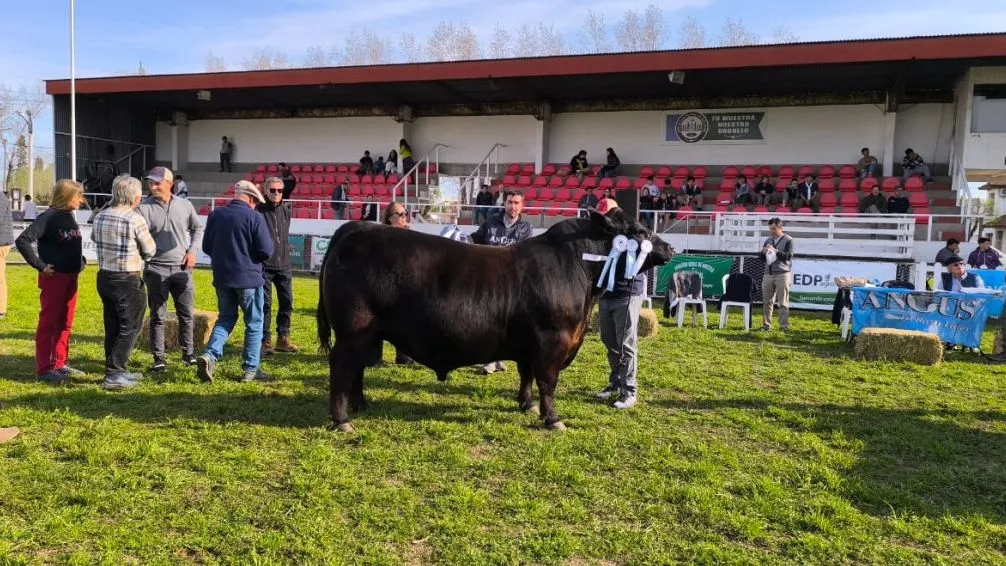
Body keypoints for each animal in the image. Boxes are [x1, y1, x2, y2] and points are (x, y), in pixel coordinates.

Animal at [317, 210, 672, 432]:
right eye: (639, 232)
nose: (669, 247)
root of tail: (356, 228)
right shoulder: (552, 341)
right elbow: (548, 382)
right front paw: (552, 419)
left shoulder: (531, 343)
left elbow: (527, 375)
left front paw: (527, 405)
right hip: (352, 332)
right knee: (342, 366)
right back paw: (342, 420)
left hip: (367, 334)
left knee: (358, 368)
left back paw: (361, 405)